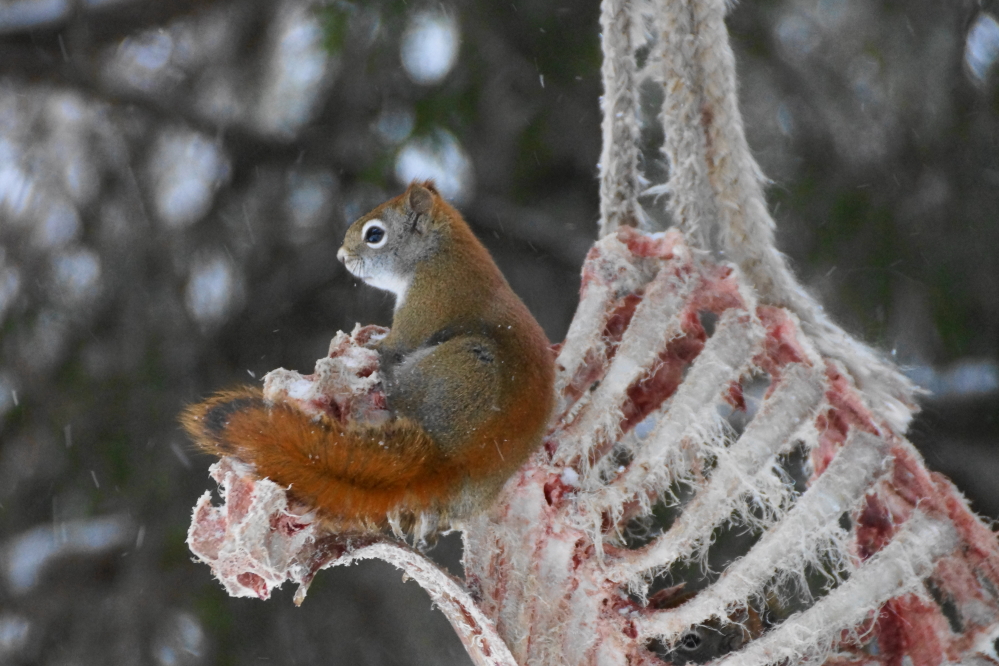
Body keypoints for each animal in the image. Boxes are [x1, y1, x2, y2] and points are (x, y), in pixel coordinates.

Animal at [181, 181, 555, 533]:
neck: (440, 252)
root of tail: (446, 460)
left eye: (374, 235)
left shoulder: (426, 302)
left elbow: (394, 344)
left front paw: (372, 344)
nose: (341, 256)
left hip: (462, 369)